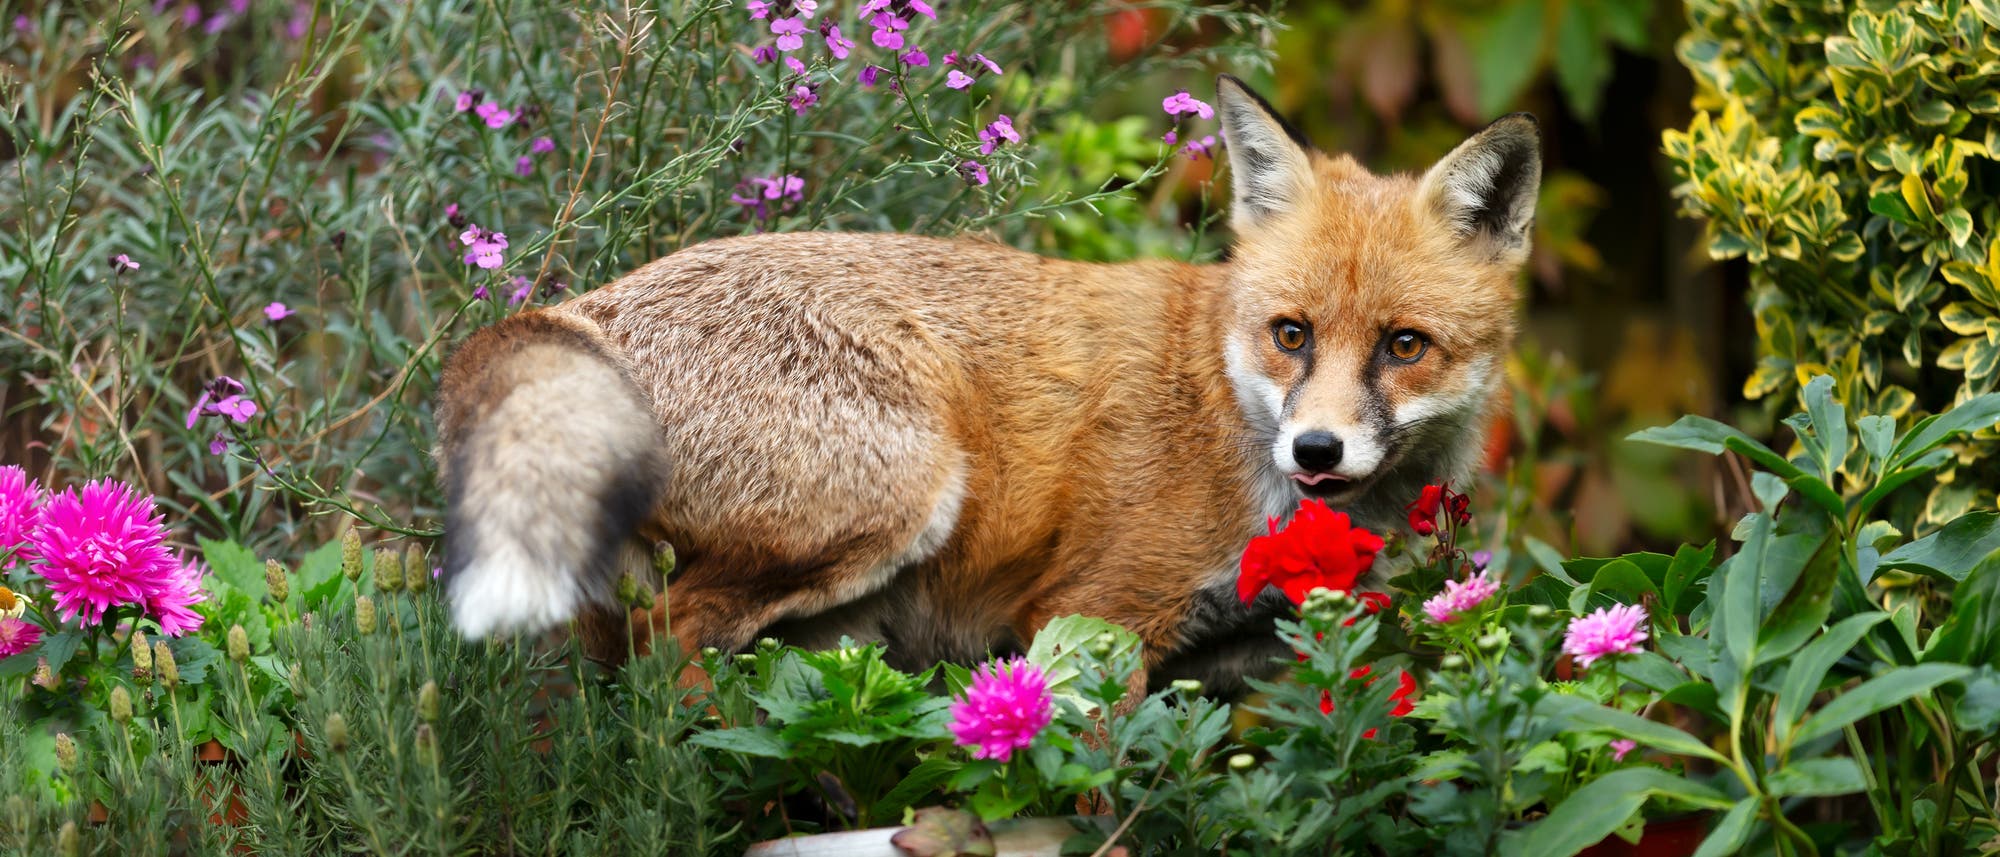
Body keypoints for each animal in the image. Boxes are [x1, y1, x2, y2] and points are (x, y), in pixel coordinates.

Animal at [434, 75, 1539, 693]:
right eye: (1291, 335)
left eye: (1404, 345)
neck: (1227, 404)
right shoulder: (1092, 616)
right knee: (664, 651)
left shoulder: (1229, 664)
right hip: (893, 502)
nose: (1316, 448)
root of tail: (588, 304)